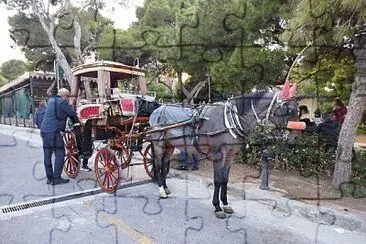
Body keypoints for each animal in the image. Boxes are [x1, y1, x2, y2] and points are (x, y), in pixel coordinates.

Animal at [146, 85, 298, 217]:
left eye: (297, 109)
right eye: (288, 109)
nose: (296, 137)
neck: (231, 120)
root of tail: (158, 109)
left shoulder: (230, 155)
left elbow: (225, 179)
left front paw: (225, 204)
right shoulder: (219, 154)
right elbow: (218, 180)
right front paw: (217, 207)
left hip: (169, 145)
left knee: (164, 165)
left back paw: (165, 187)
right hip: (158, 144)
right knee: (158, 165)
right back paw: (161, 190)